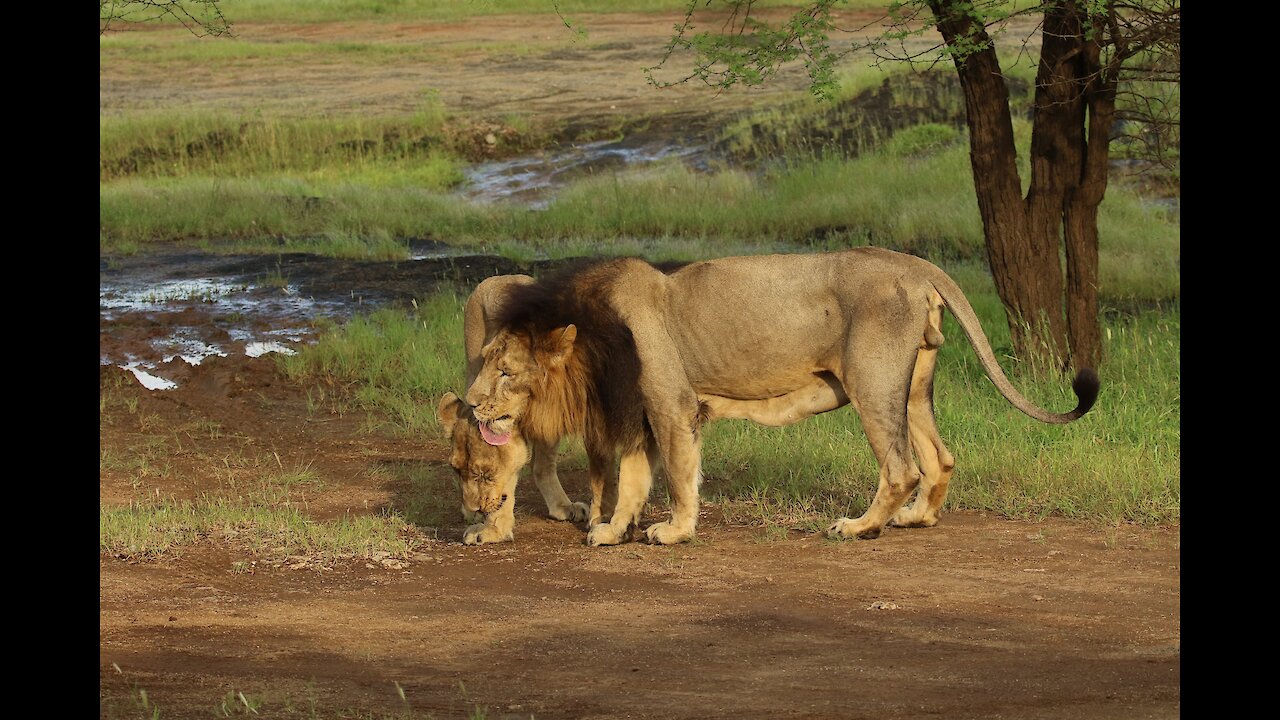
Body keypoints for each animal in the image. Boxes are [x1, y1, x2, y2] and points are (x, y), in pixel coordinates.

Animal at [465, 245, 1095, 543]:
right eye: (488, 363)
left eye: (505, 371)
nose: (469, 404)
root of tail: (914, 265)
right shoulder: (645, 414)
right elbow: (635, 481)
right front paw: (614, 532)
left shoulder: (671, 404)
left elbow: (678, 476)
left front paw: (675, 532)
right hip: (913, 388)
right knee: (939, 457)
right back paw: (916, 519)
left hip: (871, 382)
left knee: (901, 467)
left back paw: (860, 527)